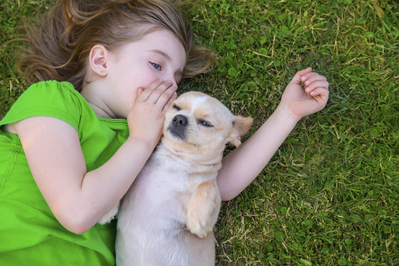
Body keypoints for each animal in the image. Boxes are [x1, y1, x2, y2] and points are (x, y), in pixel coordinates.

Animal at [101, 92, 253, 266]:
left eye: (206, 123)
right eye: (176, 107)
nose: (179, 118)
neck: (175, 162)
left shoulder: (204, 231)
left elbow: (207, 185)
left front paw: (198, 216)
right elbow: (121, 182)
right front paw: (106, 207)